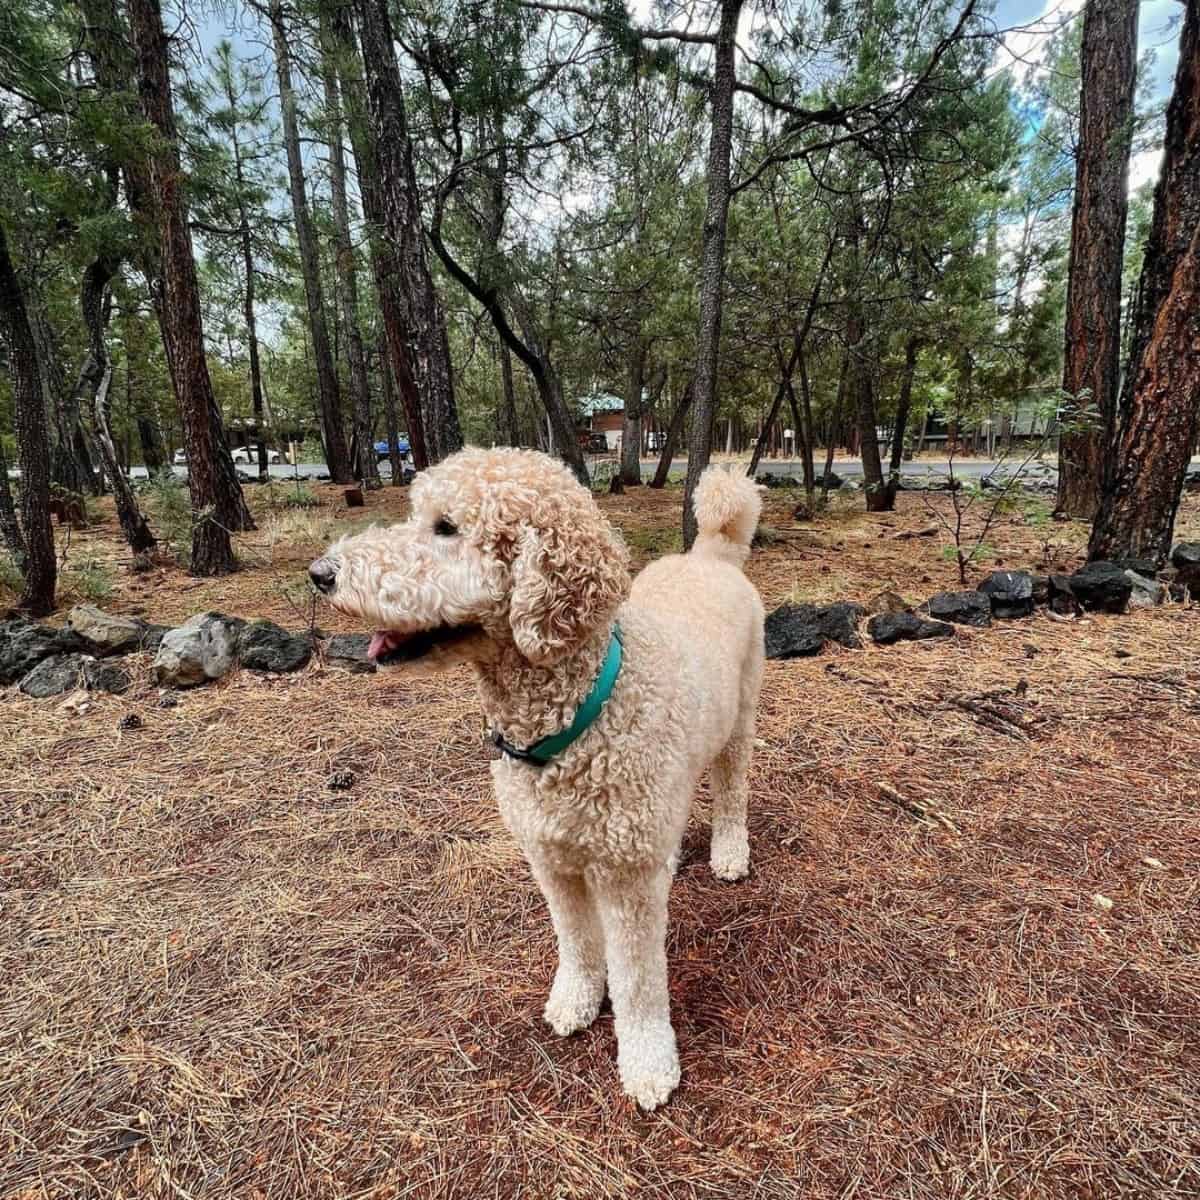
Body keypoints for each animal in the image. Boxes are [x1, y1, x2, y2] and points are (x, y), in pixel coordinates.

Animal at [307, 451, 758, 1113]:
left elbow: (639, 980)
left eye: (446, 528)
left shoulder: (627, 881)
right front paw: (576, 1000)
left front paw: (648, 1062)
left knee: (731, 789)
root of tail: (711, 553)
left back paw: (729, 850)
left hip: (741, 719)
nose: (321, 574)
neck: (573, 719)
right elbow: (576, 941)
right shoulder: (551, 857)